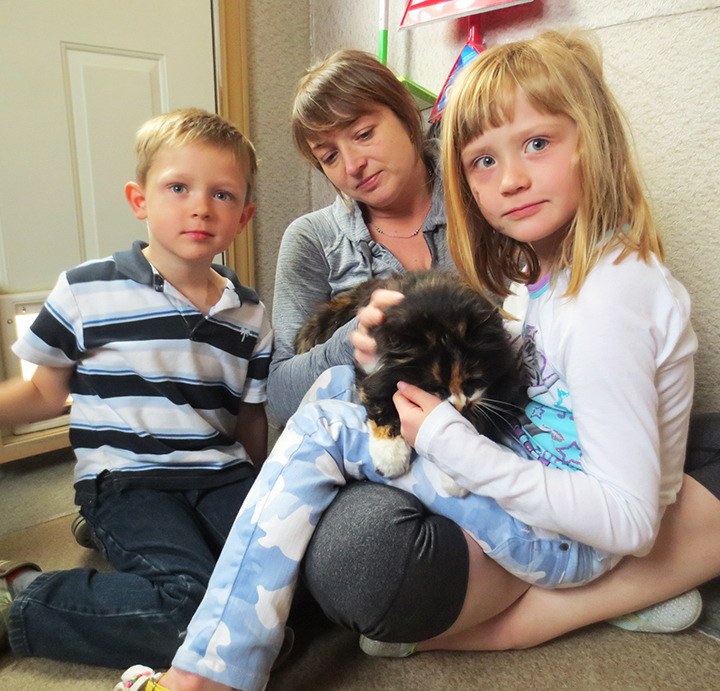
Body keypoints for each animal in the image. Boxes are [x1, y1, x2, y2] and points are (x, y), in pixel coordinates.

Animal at [292, 274, 524, 494]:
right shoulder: (372, 368)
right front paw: (391, 457)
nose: (459, 406)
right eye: (435, 388)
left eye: (472, 381)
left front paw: (457, 476)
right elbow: (381, 403)